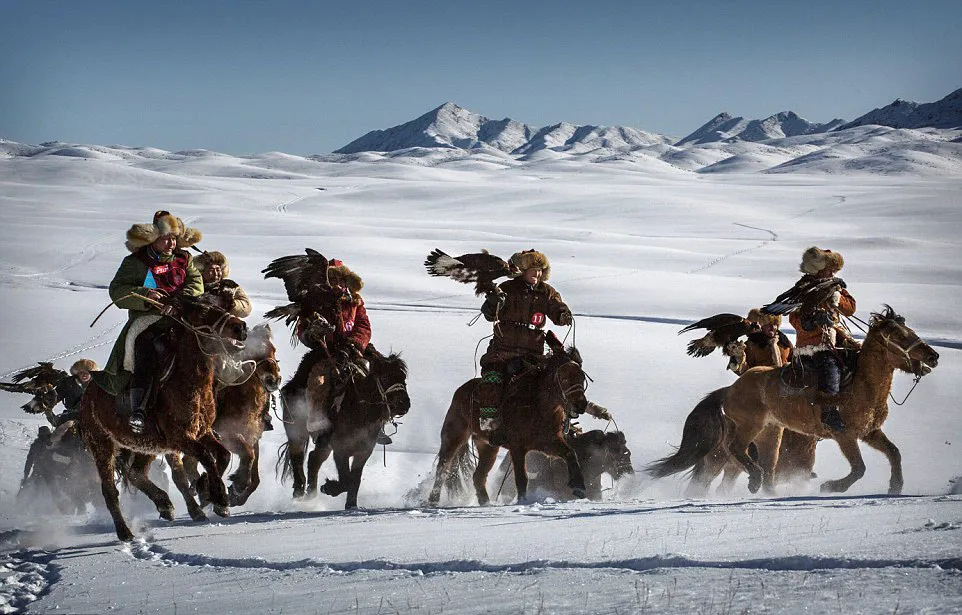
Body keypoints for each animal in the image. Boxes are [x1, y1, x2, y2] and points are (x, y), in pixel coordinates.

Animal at [79, 294, 248, 540]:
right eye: (203, 311)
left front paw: (208, 492)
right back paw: (125, 532)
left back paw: (165, 505)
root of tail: (86, 397)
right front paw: (218, 497)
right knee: (110, 490)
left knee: (136, 473)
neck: (187, 382)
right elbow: (207, 457)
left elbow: (222, 455)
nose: (240, 328)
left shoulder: (202, 432)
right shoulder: (181, 438)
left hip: (145, 445)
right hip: (102, 445)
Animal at [172, 324, 282, 508]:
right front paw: (238, 485)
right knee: (190, 461)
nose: (274, 380)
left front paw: (237, 493)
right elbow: (248, 454)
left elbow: (255, 474)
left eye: (273, 350)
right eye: (254, 352)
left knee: (189, 461)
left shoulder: (252, 436)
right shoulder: (228, 434)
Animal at [280, 346, 410, 510]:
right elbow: (347, 479)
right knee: (297, 457)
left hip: (324, 443)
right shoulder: (340, 449)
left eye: (403, 378)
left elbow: (355, 479)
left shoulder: (363, 452)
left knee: (313, 458)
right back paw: (299, 493)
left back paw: (311, 494)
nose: (405, 404)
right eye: (385, 377)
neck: (360, 411)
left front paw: (351, 505)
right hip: (297, 430)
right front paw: (329, 488)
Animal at [430, 334, 592, 508]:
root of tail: (460, 391)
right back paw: (432, 501)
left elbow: (570, 453)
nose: (581, 404)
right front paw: (523, 501)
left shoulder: (548, 442)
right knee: (443, 469)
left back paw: (486, 503)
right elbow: (521, 478)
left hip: (488, 447)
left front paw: (579, 487)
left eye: (582, 377)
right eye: (563, 377)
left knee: (478, 476)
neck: (538, 407)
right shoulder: (517, 446)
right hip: (453, 436)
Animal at [644, 306, 936, 498]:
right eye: (899, 336)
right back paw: (753, 481)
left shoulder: (869, 433)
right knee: (734, 451)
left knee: (764, 465)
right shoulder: (845, 436)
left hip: (771, 432)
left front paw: (895, 487)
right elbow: (859, 468)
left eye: (910, 330)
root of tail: (729, 390)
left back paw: (765, 489)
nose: (933, 357)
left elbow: (894, 453)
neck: (860, 385)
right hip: (747, 430)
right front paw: (832, 486)